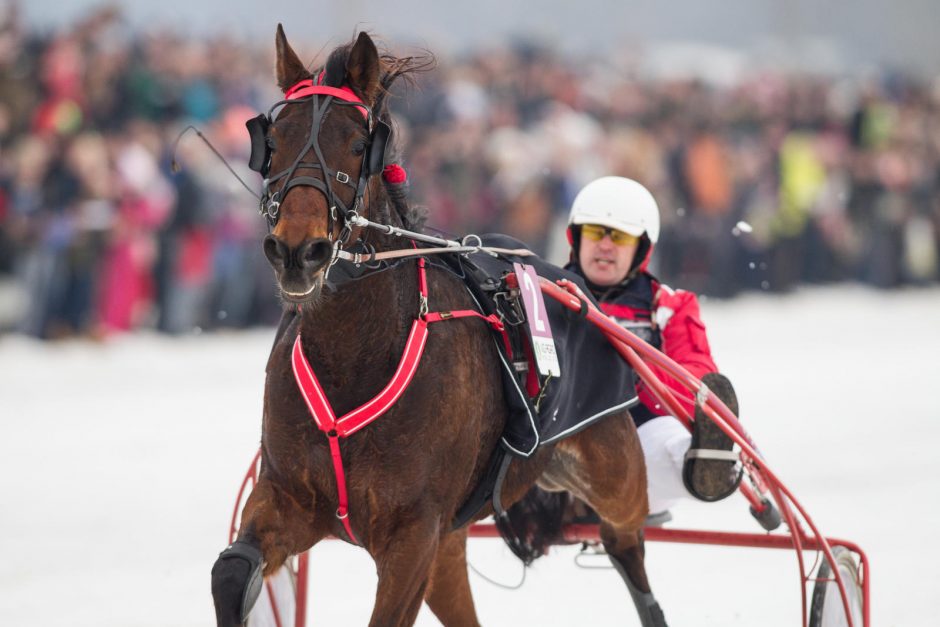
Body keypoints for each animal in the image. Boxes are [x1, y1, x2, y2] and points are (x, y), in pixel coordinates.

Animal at [211, 27, 668, 624]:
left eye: (356, 144)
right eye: (276, 141)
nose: (297, 252)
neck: (352, 359)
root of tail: (579, 288)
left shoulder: (413, 536)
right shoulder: (288, 498)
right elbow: (231, 572)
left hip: (612, 466)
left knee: (626, 537)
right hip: (453, 539)